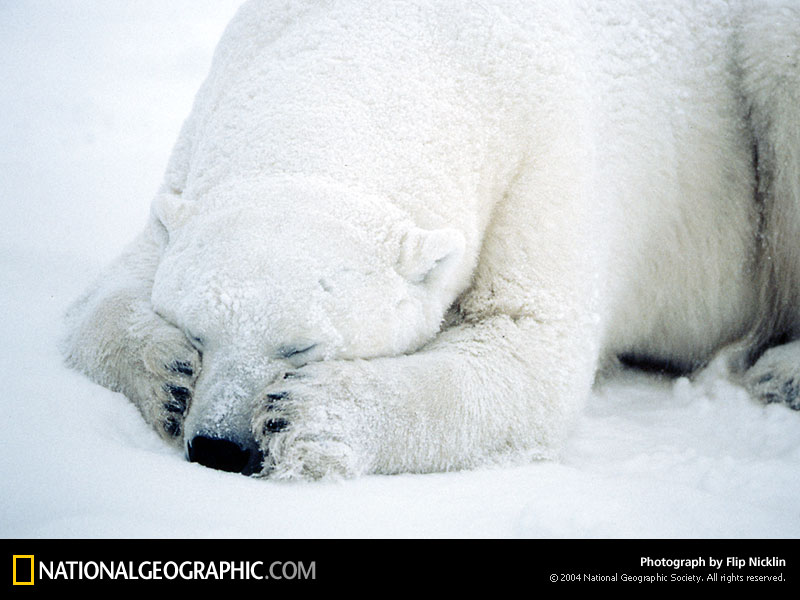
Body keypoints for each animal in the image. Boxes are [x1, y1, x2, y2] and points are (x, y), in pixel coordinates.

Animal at [61, 0, 800, 478]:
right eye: (197, 329)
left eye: (301, 348)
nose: (220, 446)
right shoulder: (199, 142)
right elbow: (108, 289)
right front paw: (167, 375)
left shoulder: (548, 161)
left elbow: (529, 349)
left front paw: (304, 417)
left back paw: (780, 371)